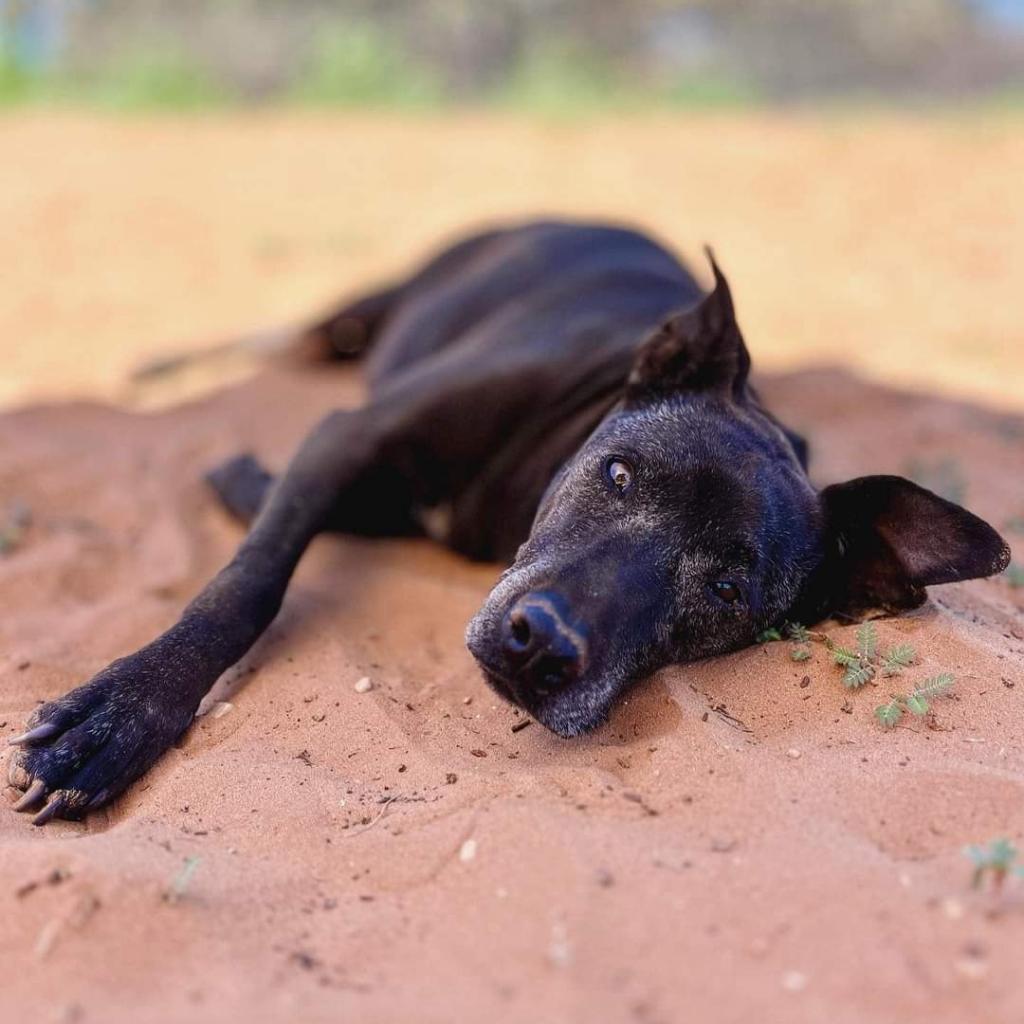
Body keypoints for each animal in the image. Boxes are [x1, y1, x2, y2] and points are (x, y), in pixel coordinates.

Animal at [8, 222, 1011, 823]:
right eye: (618, 472)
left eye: (727, 590)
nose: (541, 648)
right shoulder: (347, 433)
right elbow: (249, 582)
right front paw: (121, 714)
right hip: (375, 303)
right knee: (282, 337)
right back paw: (155, 366)